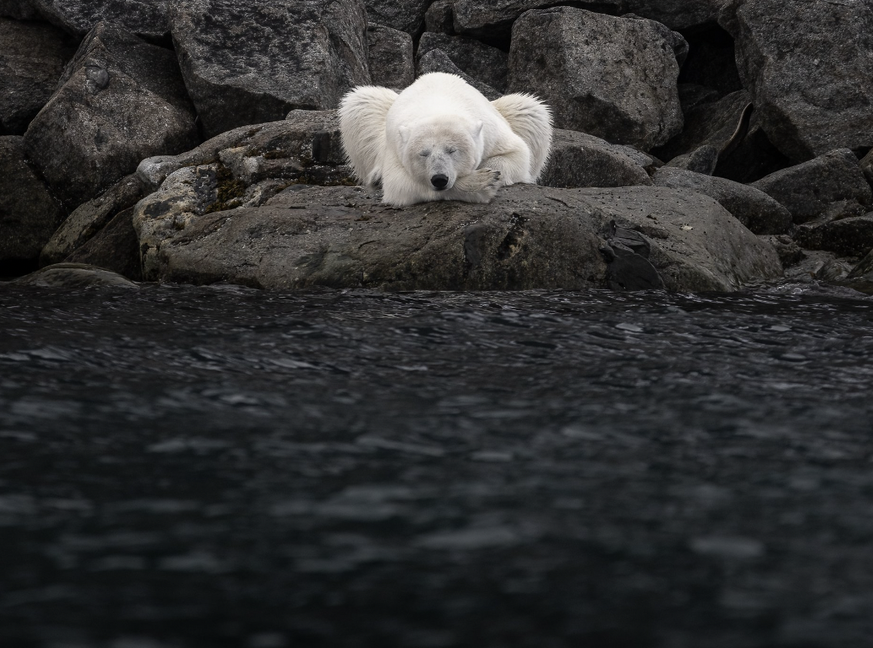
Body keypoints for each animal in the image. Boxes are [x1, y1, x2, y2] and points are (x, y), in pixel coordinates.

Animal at [336, 72, 548, 206]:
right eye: (423, 153)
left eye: (452, 150)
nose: (439, 178)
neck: (440, 104)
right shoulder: (397, 146)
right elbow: (400, 184)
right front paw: (481, 183)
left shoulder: (490, 131)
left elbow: (518, 154)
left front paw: (492, 174)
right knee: (362, 101)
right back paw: (377, 177)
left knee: (530, 109)